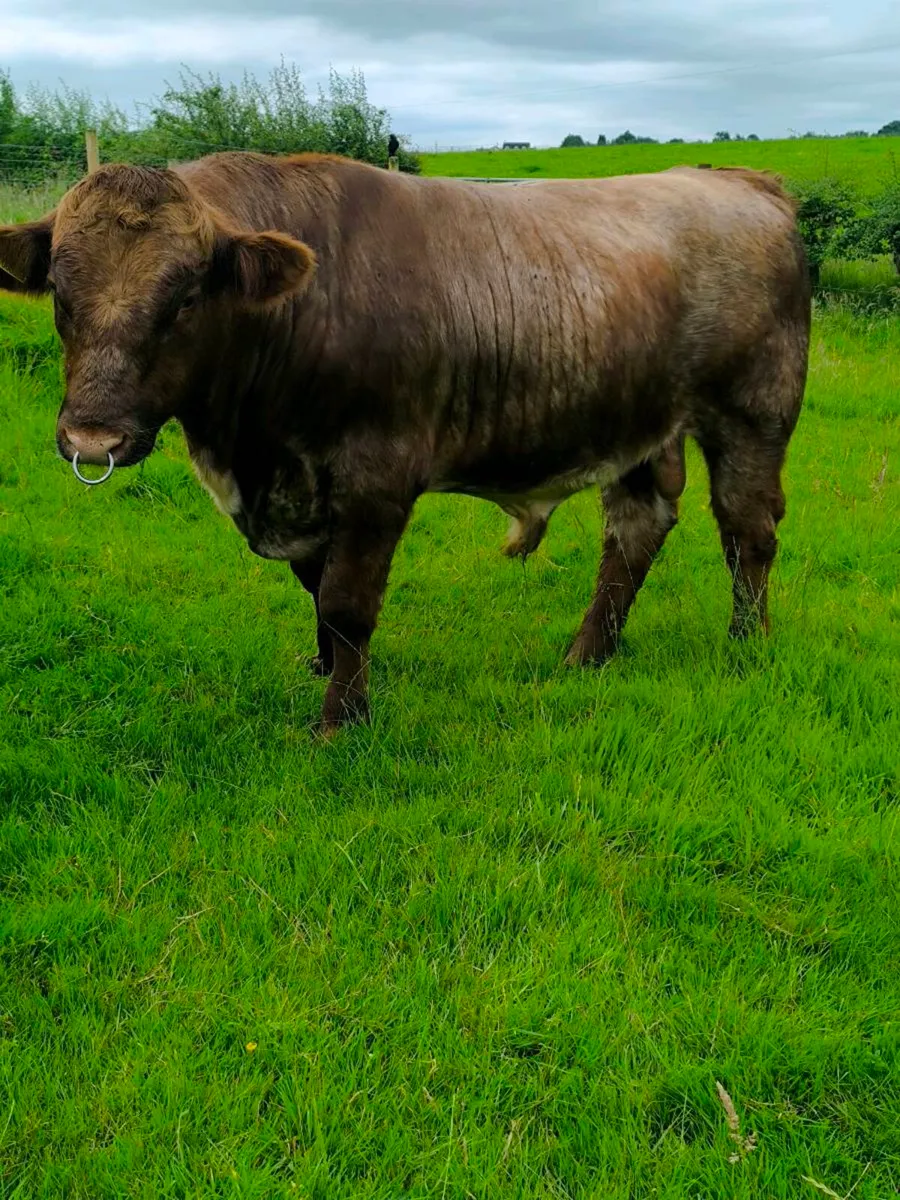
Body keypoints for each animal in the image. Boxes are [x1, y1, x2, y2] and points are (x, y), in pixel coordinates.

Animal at [0, 154, 811, 734]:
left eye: (188, 297)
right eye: (62, 296)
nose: (93, 437)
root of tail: (740, 181)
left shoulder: (375, 480)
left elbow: (348, 601)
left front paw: (342, 719)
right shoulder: (306, 490)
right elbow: (316, 590)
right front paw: (325, 667)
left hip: (753, 416)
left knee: (748, 531)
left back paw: (745, 645)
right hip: (640, 428)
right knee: (637, 531)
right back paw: (587, 655)